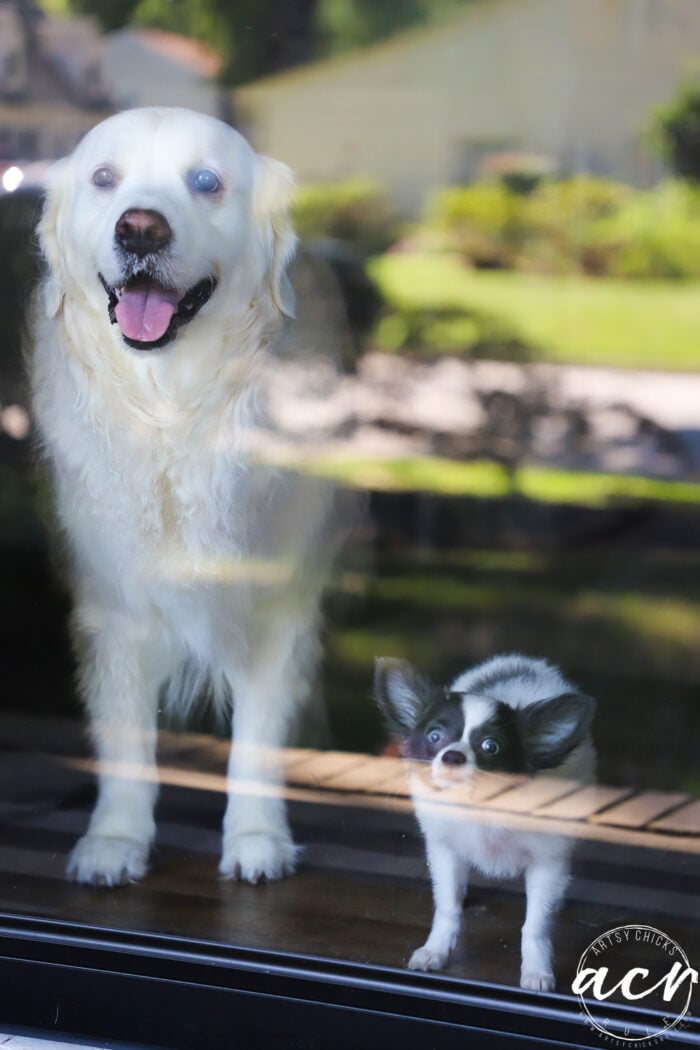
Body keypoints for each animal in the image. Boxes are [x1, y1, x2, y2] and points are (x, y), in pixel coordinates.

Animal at [28, 108, 340, 886]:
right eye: (103, 177)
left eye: (206, 181)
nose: (141, 228)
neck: (173, 412)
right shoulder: (112, 603)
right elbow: (123, 739)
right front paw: (114, 839)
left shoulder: (280, 599)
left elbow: (259, 734)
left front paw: (256, 837)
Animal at [375, 651, 596, 986]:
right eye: (435, 736)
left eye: (491, 747)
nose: (452, 756)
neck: (480, 807)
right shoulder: (445, 850)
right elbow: (447, 906)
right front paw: (436, 951)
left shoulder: (548, 863)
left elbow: (536, 925)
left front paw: (537, 971)